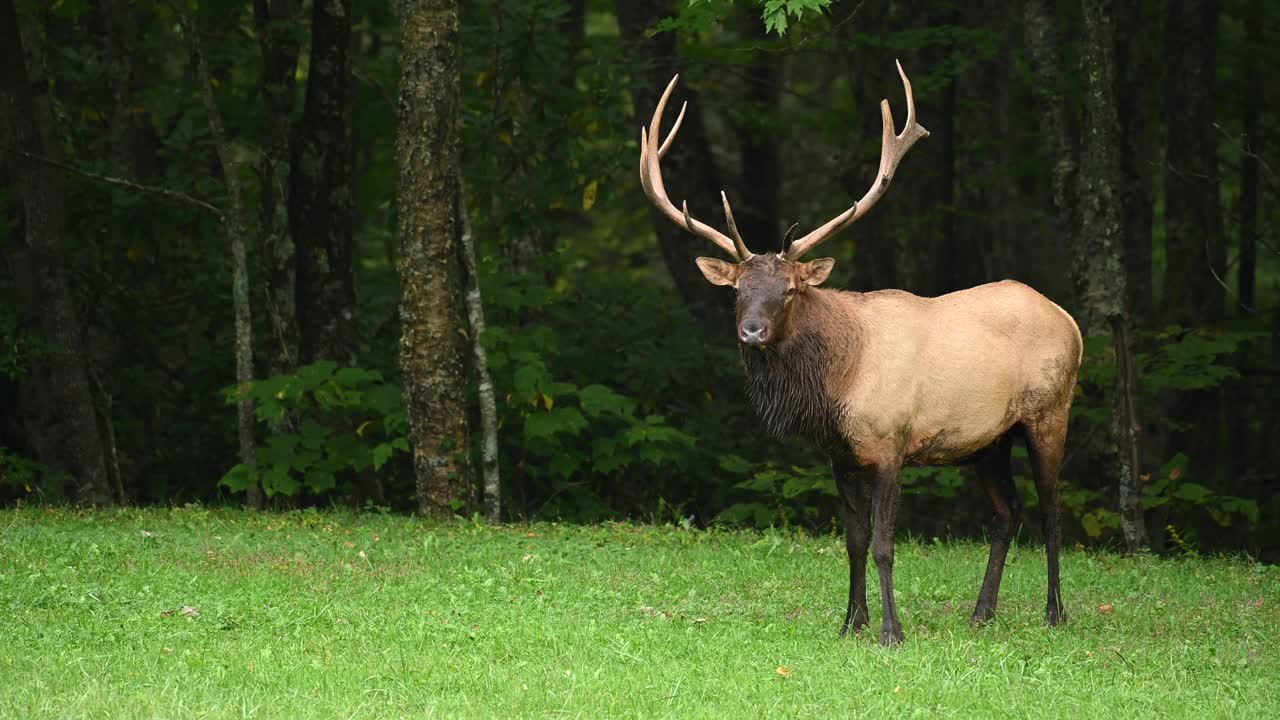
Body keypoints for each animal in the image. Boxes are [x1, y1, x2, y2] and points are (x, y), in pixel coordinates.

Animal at [640, 63, 1080, 645]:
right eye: (737, 290)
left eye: (789, 290)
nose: (752, 332)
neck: (836, 386)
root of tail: (1070, 320)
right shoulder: (840, 455)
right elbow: (852, 542)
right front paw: (851, 623)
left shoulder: (891, 443)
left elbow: (884, 545)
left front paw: (892, 631)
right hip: (989, 439)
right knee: (1008, 513)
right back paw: (981, 613)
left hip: (1050, 410)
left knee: (1053, 509)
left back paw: (1055, 613)